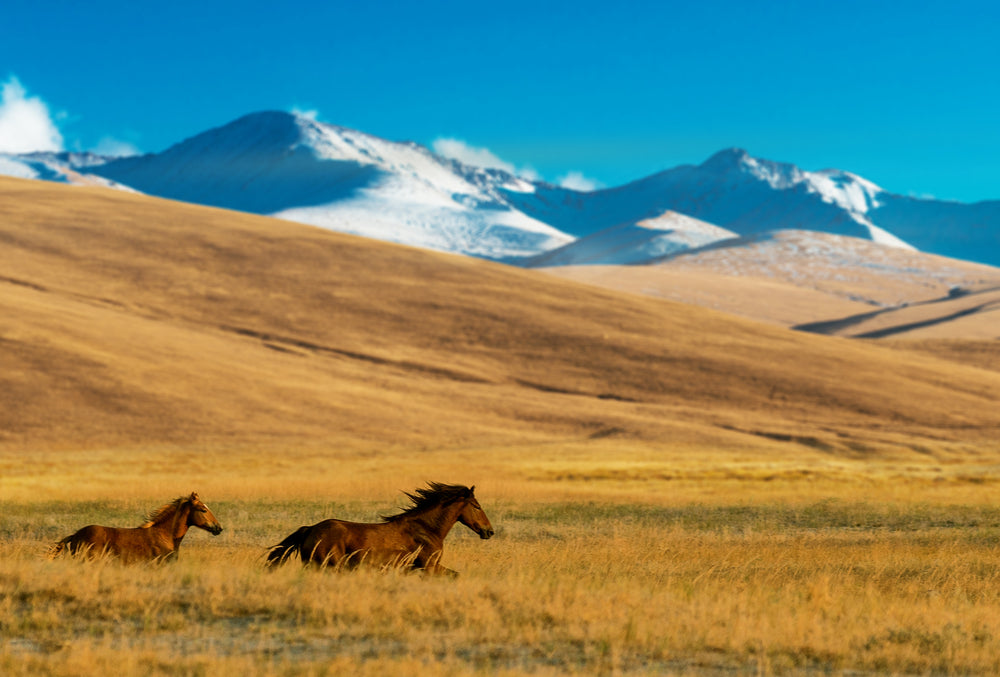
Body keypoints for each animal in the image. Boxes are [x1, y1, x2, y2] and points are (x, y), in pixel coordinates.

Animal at [266, 480, 492, 576]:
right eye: (476, 506)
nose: (489, 531)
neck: (425, 530)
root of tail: (310, 529)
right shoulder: (428, 566)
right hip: (329, 565)